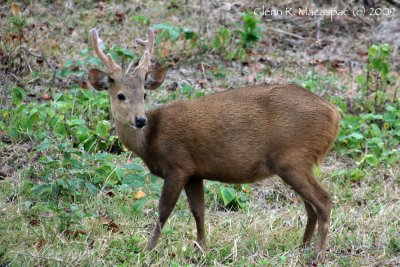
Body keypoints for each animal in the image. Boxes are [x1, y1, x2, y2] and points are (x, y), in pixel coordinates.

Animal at [88, 28, 340, 262]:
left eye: (144, 94)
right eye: (120, 95)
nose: (140, 120)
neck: (150, 139)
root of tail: (334, 114)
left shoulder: (178, 164)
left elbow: (163, 211)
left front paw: (148, 251)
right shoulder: (194, 172)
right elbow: (198, 211)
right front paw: (202, 248)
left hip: (293, 158)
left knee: (324, 201)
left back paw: (318, 254)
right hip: (297, 163)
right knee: (310, 206)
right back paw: (302, 248)